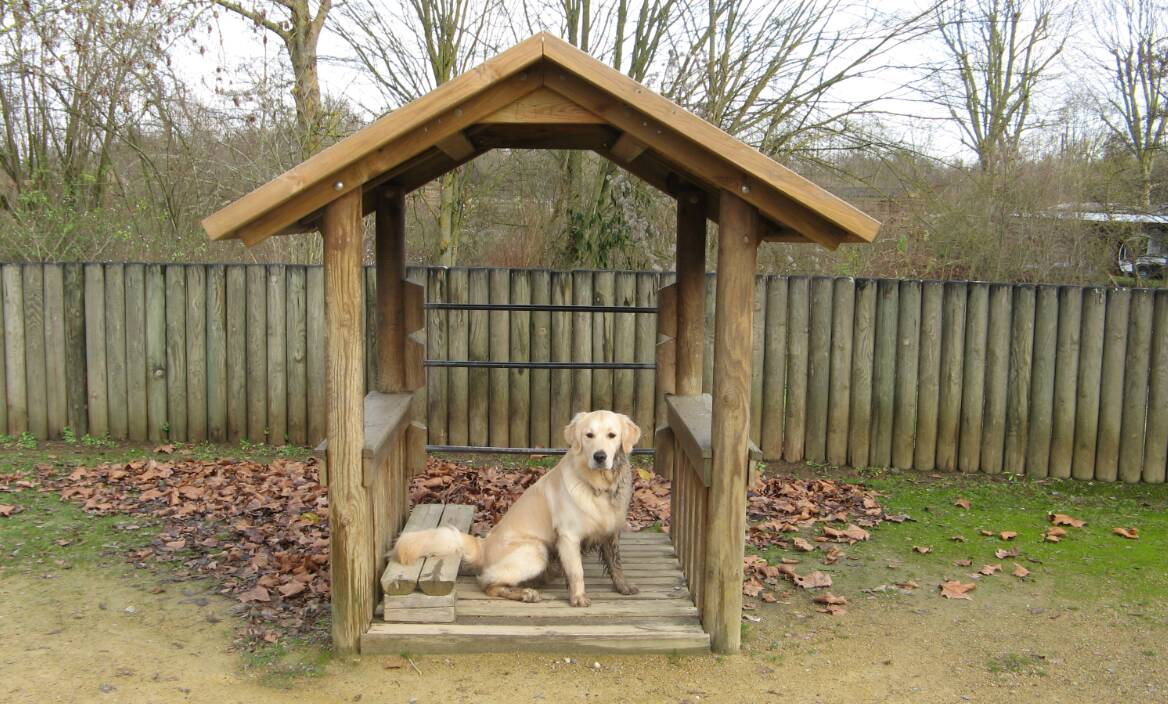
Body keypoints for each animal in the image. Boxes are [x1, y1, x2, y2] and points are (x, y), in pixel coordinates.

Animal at [397, 410, 644, 607]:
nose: (600, 456)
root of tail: (483, 545)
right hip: (536, 550)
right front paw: (578, 597)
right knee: (487, 582)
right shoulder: (568, 536)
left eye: (612, 435)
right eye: (589, 435)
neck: (601, 486)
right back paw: (526, 593)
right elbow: (577, 571)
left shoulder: (611, 532)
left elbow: (615, 563)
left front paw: (623, 586)